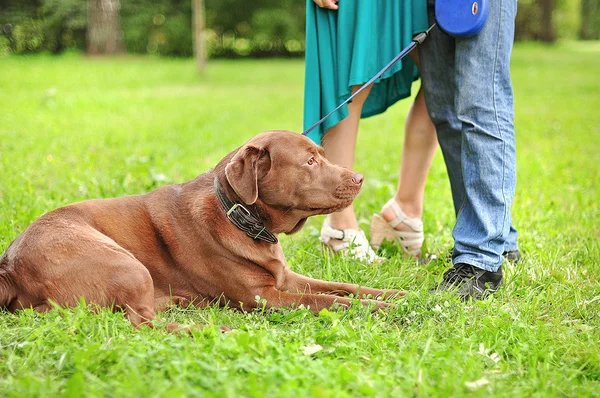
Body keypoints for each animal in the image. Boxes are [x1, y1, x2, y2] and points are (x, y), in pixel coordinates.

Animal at [2, 130, 404, 330]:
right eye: (309, 161)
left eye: (321, 154)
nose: (360, 178)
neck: (240, 216)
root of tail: (9, 267)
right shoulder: (263, 297)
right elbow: (328, 300)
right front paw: (380, 308)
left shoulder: (285, 278)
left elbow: (343, 286)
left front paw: (395, 294)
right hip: (125, 263)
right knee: (141, 323)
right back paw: (214, 328)